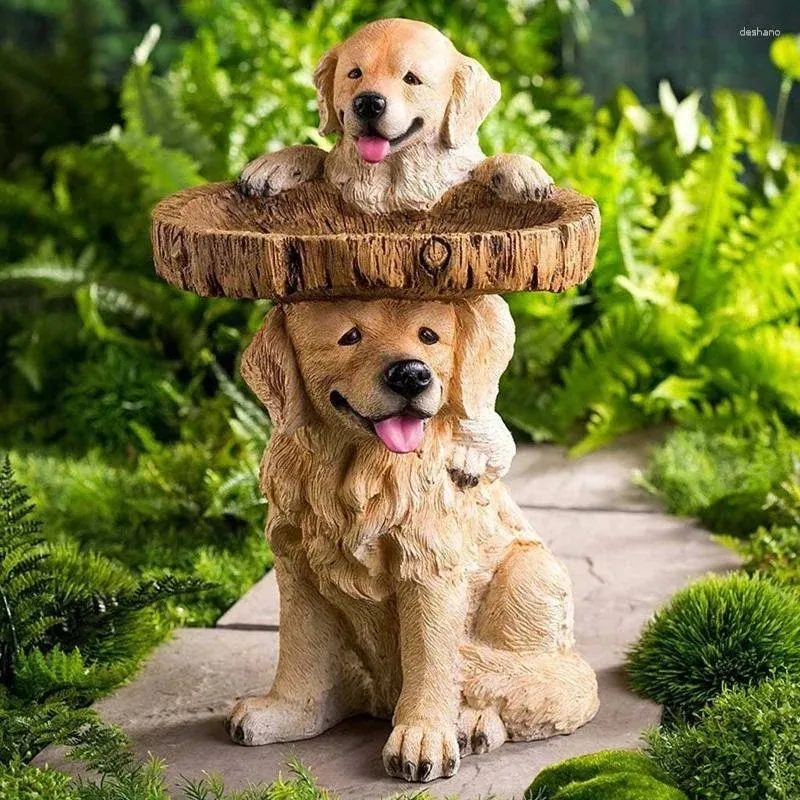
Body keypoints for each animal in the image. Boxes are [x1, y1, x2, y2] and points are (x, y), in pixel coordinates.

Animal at [228, 296, 596, 780]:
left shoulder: (430, 569)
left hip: (533, 573)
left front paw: (423, 738)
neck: (357, 475)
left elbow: (430, 658)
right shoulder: (297, 567)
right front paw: (285, 712)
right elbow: (299, 651)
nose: (411, 375)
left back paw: (471, 723)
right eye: (350, 336)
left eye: (429, 336)